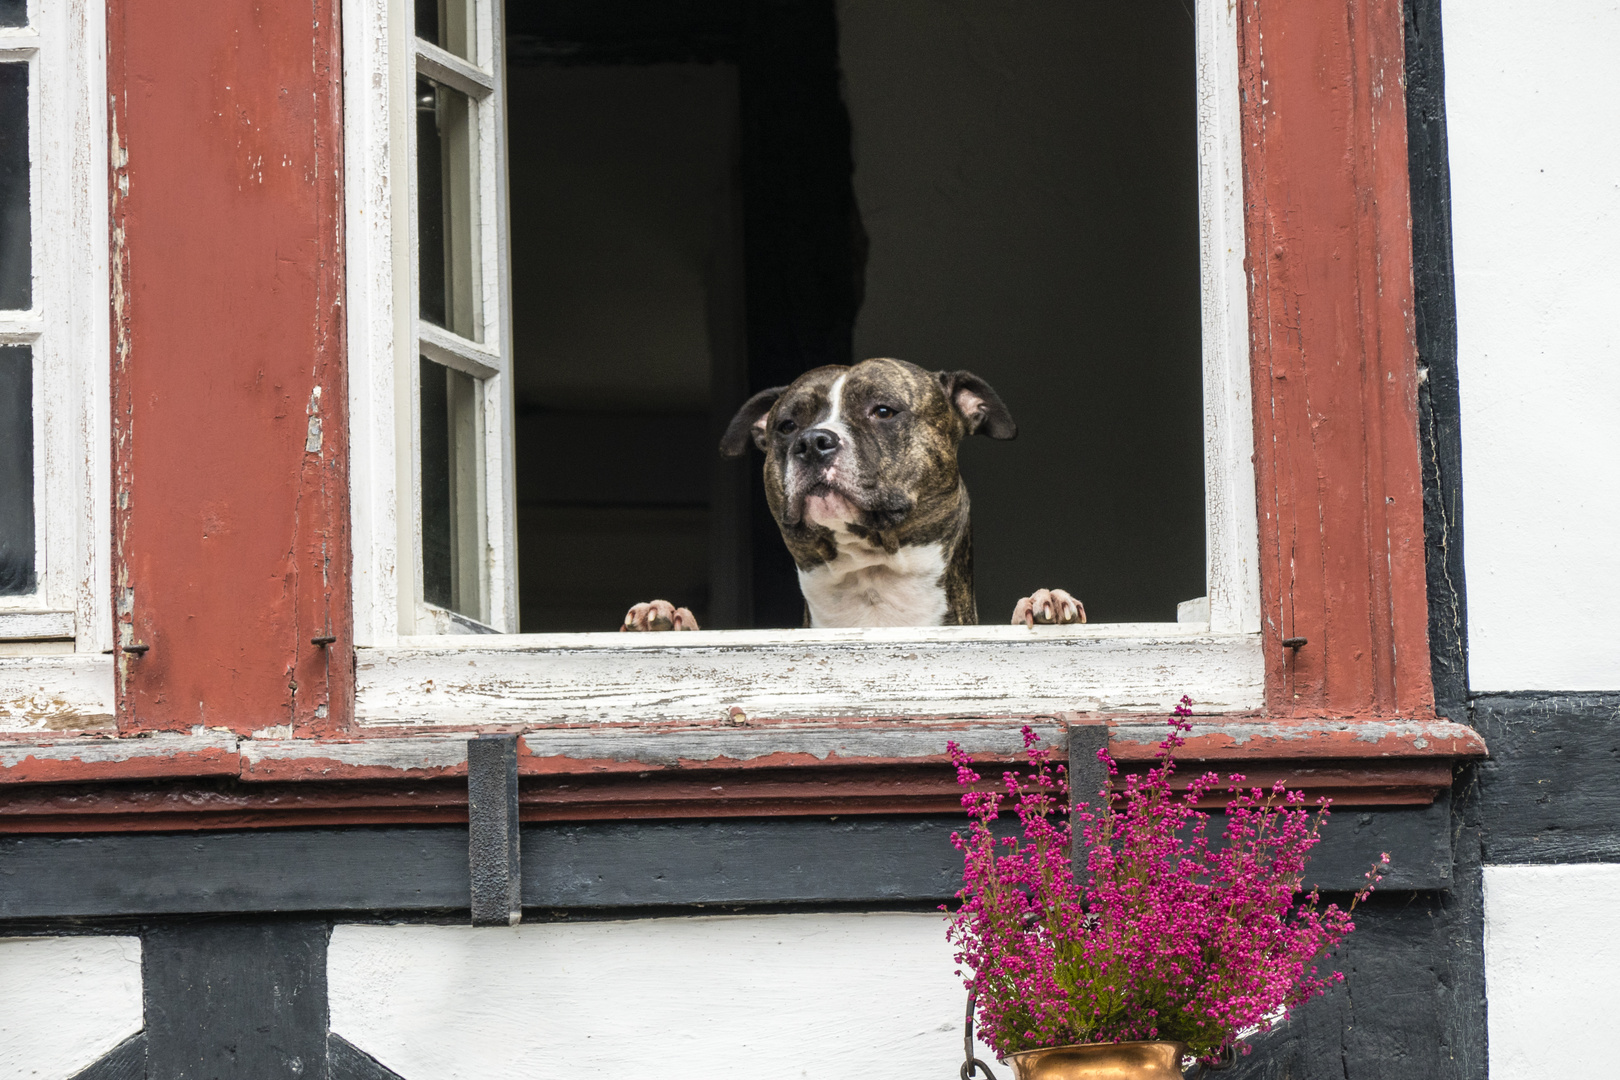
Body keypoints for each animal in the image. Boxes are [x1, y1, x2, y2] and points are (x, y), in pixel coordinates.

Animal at [618, 361, 1088, 634]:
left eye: (883, 410)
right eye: (786, 426)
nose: (812, 442)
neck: (871, 587)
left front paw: (1045, 602)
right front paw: (663, 620)